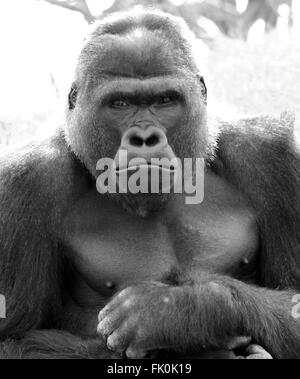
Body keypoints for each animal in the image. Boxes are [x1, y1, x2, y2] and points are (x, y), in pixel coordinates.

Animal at [0, 8, 300, 360]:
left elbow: (293, 296)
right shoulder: (24, 182)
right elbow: (12, 338)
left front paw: (177, 311)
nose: (145, 138)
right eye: (120, 104)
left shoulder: (274, 154)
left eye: (165, 100)